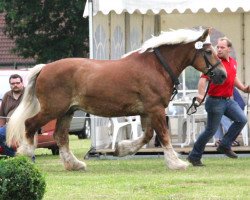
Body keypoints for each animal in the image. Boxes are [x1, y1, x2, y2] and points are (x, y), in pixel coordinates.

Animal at [7, 28, 227, 170]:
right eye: (209, 51)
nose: (222, 75)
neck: (157, 66)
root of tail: (45, 67)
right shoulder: (155, 109)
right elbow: (163, 135)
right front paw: (176, 163)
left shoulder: (147, 111)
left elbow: (147, 135)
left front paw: (121, 149)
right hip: (53, 109)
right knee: (30, 124)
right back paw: (26, 153)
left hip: (67, 112)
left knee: (60, 137)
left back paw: (74, 164)